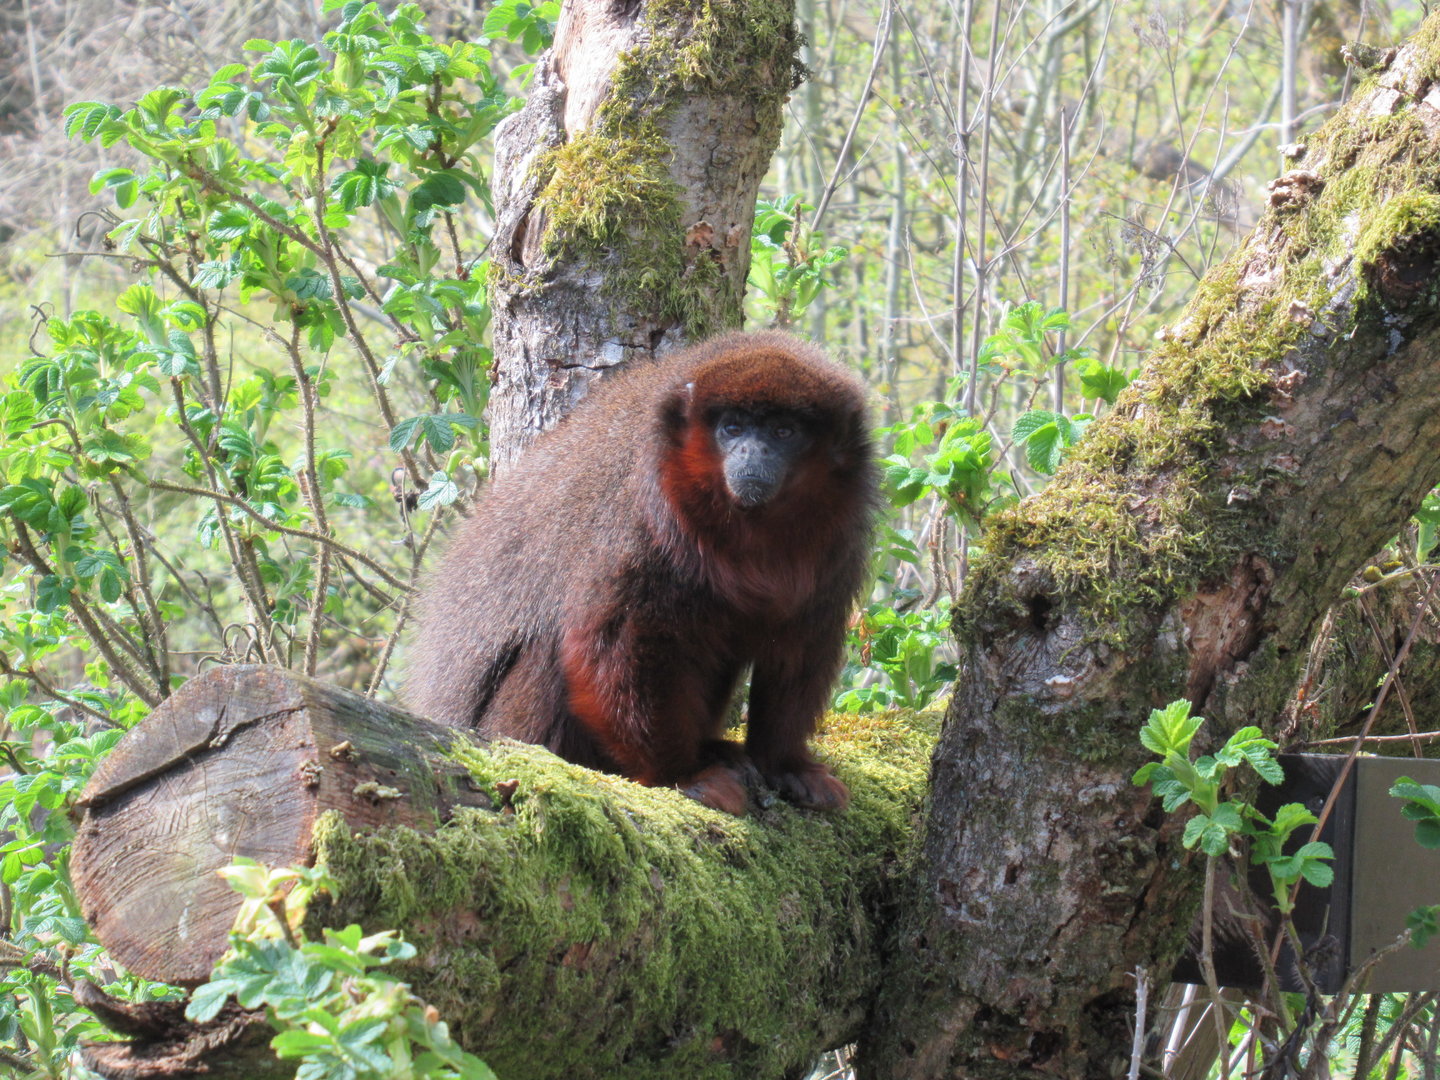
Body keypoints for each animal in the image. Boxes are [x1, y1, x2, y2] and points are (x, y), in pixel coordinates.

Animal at [404, 331, 876, 816]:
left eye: (783, 432)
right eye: (733, 428)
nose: (752, 452)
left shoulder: (840, 542)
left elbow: (801, 644)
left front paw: (784, 764)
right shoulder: (640, 517)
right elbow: (610, 645)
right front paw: (681, 775)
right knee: (550, 645)